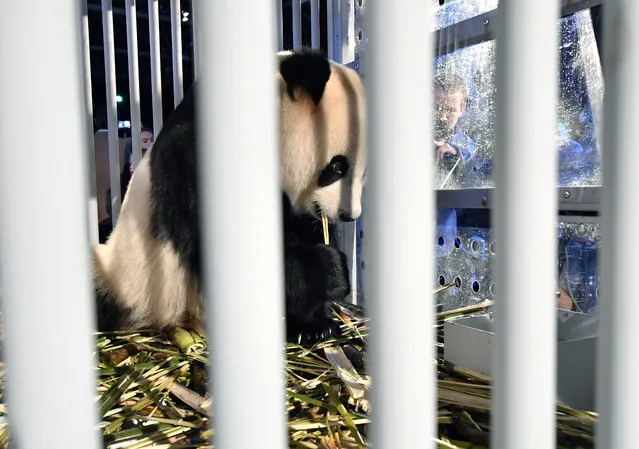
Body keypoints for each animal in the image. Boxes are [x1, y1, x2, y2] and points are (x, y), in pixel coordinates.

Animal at [92, 48, 368, 344]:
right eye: (337, 166)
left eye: (363, 172)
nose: (348, 215)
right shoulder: (195, 158)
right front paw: (332, 272)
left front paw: (315, 322)